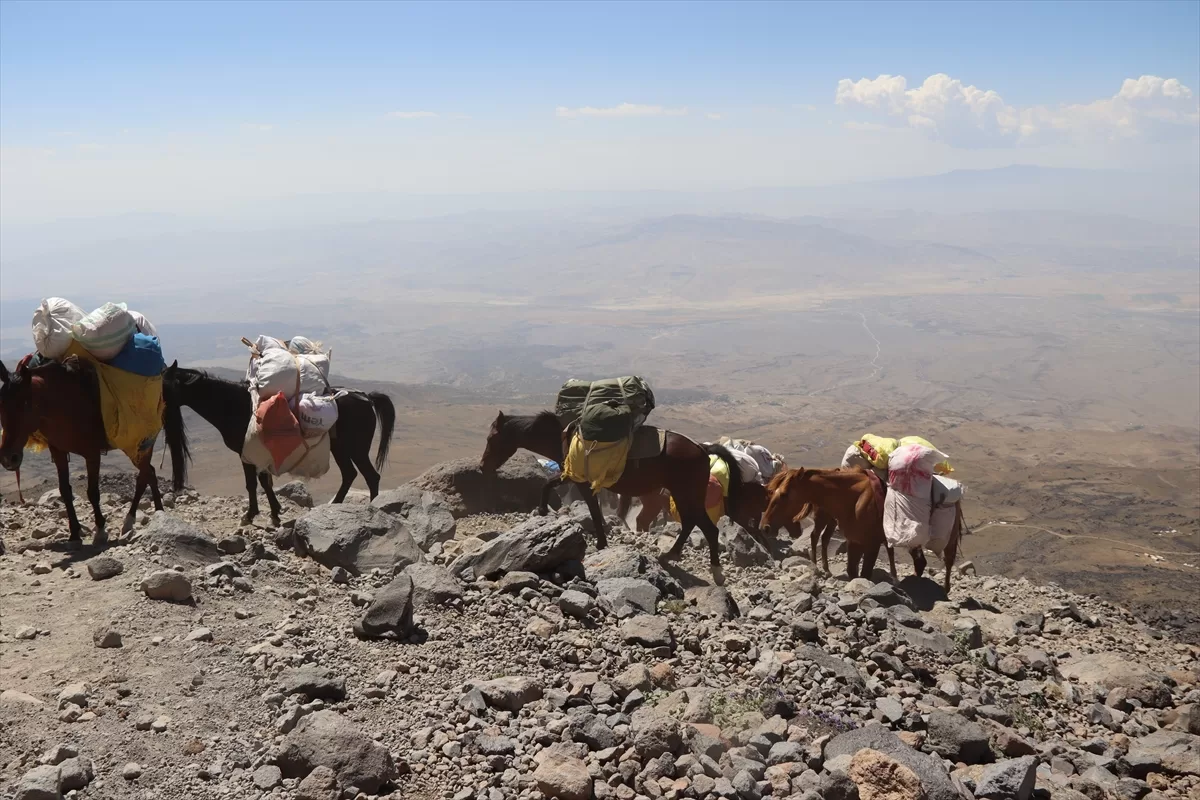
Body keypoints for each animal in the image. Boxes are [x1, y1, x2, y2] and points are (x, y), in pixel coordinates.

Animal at [0, 359, 163, 546]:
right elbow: (65, 490)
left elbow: (92, 492)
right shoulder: (58, 452)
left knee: (145, 475)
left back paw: (138, 518)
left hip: (140, 445)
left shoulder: (92, 454)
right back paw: (153, 513)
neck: (64, 407)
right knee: (149, 473)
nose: (8, 458)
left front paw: (100, 530)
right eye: (1, 404)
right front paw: (74, 533)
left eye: (26, 403)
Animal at [159, 362, 391, 525]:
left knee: (371, 476)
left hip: (356, 448)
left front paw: (252, 515)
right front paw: (274, 512)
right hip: (341, 448)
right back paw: (335, 505)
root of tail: (367, 398)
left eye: (166, 386)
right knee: (350, 474)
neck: (233, 406)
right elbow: (264, 483)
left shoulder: (247, 453)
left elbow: (254, 483)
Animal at [477, 412, 739, 582]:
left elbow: (588, 507)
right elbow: (557, 489)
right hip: (685, 495)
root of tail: (703, 450)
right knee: (693, 524)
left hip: (686, 494)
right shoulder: (573, 478)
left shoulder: (579, 481)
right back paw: (671, 556)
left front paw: (600, 542)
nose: (482, 466)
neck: (562, 438)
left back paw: (713, 571)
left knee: (705, 527)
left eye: (491, 438)